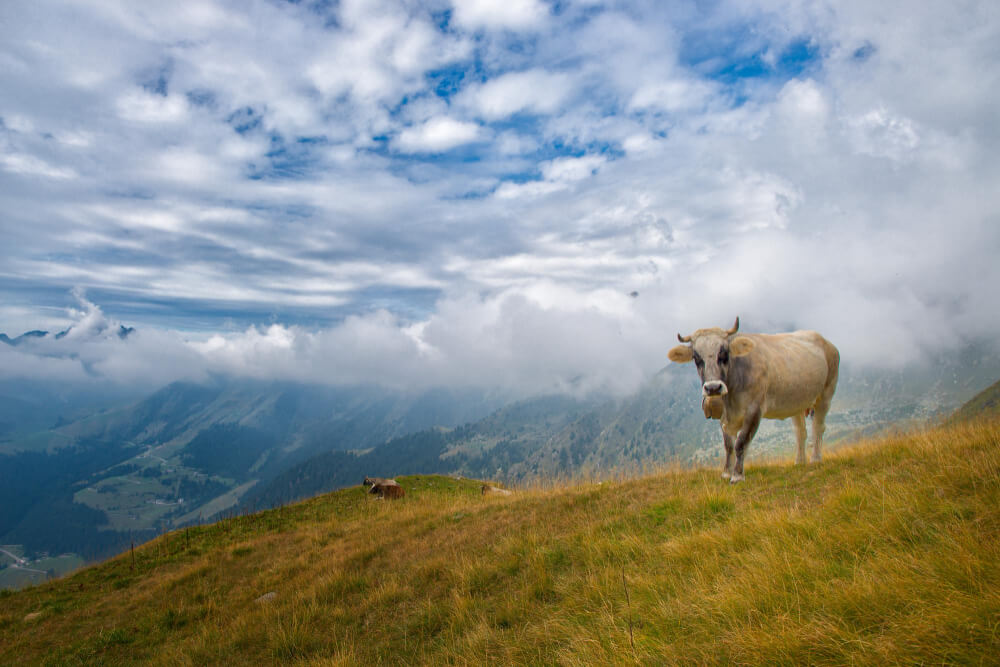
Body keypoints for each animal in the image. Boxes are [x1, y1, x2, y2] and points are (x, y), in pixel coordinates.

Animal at [668, 318, 840, 486]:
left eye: (724, 353)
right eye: (696, 358)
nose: (713, 388)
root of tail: (828, 343)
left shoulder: (754, 411)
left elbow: (741, 443)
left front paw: (737, 476)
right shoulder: (724, 417)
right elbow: (728, 446)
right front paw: (726, 473)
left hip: (826, 393)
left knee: (818, 427)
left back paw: (815, 459)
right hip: (796, 402)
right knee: (800, 432)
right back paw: (799, 461)